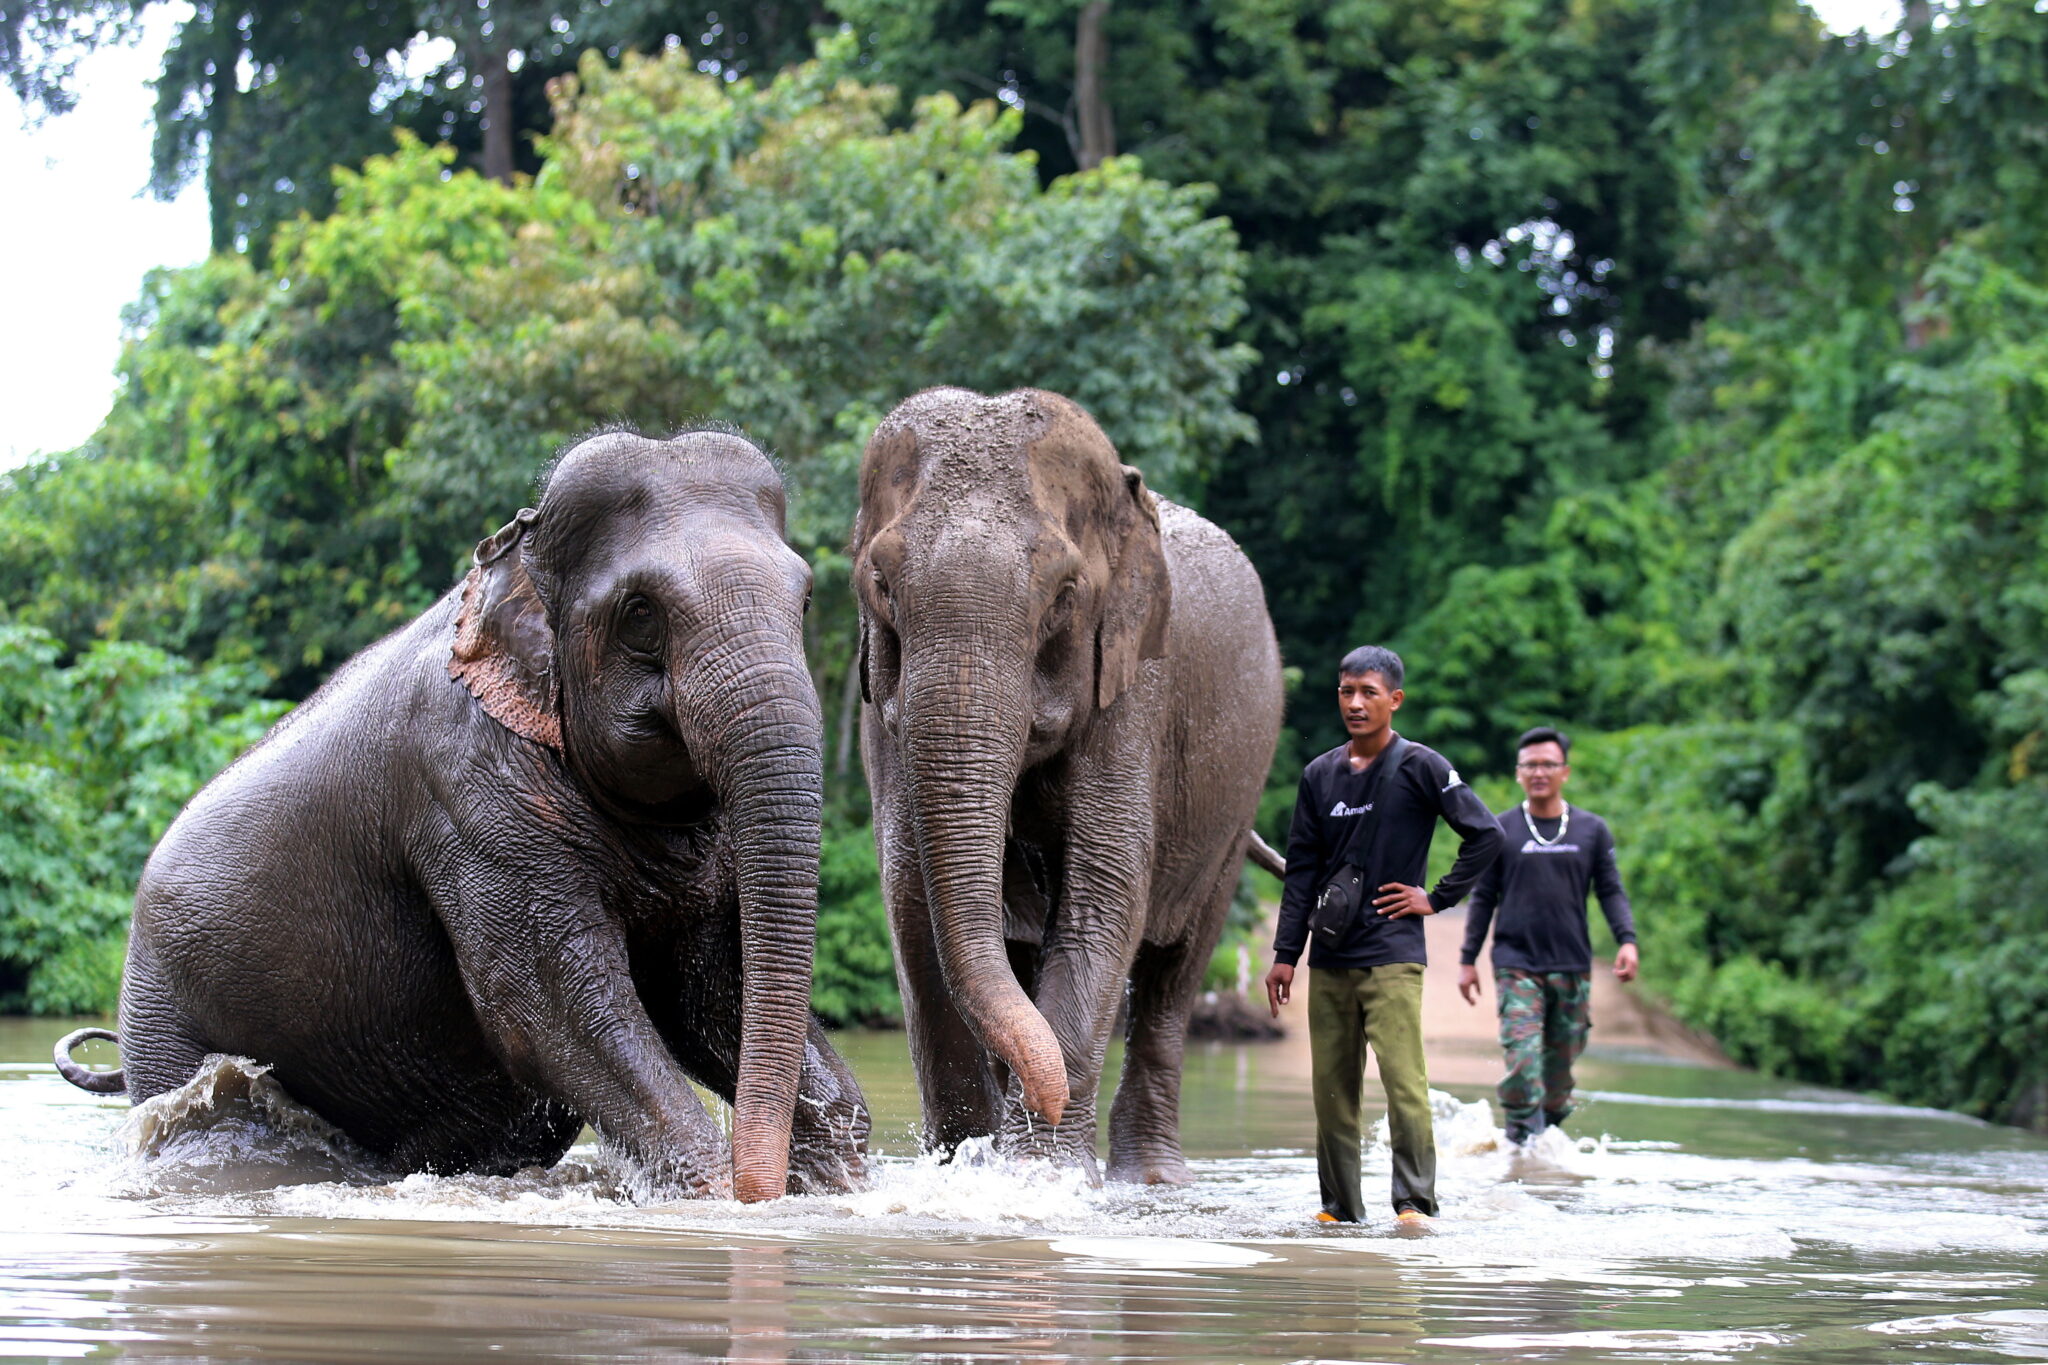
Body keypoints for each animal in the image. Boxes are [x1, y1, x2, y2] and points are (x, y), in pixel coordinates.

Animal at [56, 431, 872, 1203]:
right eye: (640, 613)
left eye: (804, 600)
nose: (760, 1187)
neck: (518, 555)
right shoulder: (468, 795)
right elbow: (549, 1011)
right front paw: (711, 1194)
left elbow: (710, 992)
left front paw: (835, 1182)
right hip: (164, 1011)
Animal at [847, 386, 1277, 1186]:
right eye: (881, 584)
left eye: (1064, 595)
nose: (1041, 1103)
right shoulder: (879, 706)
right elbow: (911, 894)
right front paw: (969, 1166)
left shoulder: (1137, 685)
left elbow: (1104, 885)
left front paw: (1042, 1178)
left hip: (1238, 798)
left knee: (1175, 972)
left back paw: (1151, 1179)